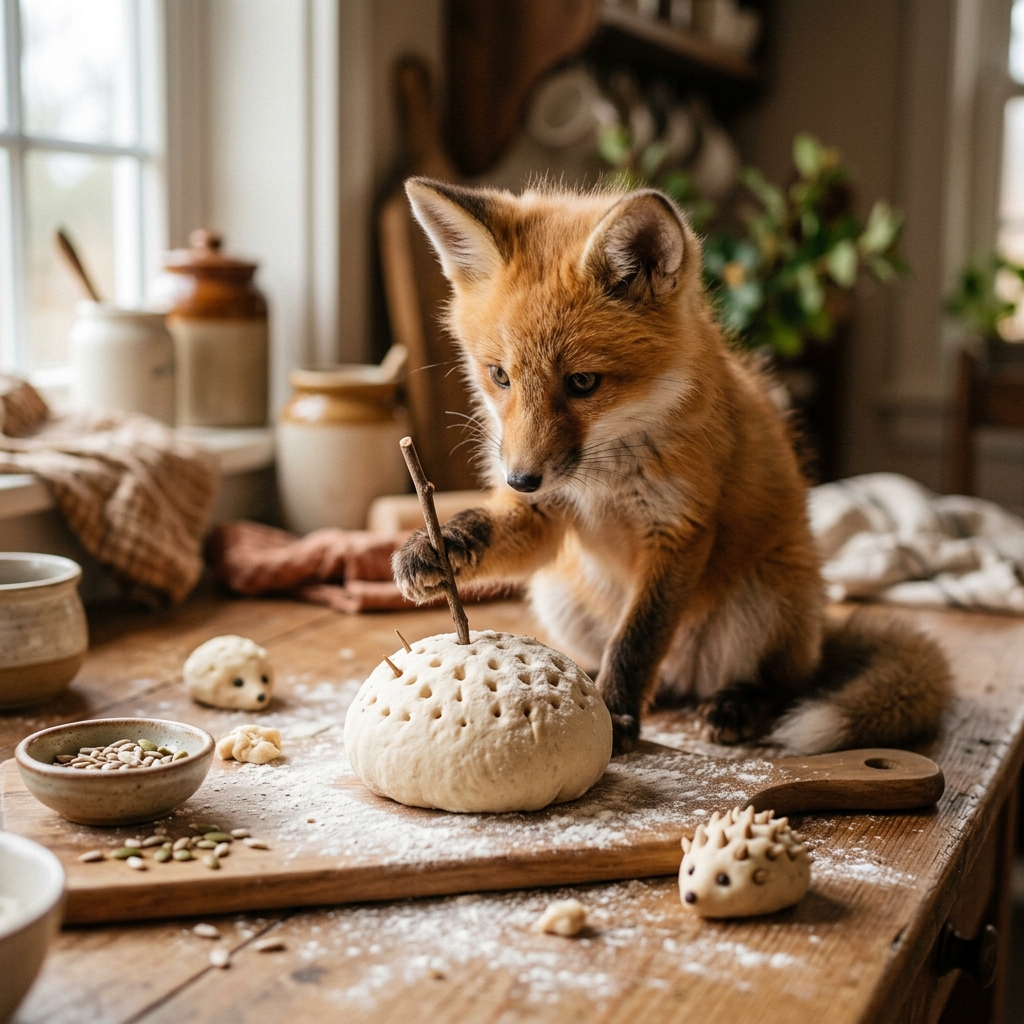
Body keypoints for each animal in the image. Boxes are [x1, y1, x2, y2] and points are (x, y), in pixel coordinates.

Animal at [392, 177, 951, 755]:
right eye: (500, 376)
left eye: (583, 382)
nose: (520, 480)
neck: (608, 475)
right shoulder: (547, 514)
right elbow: (489, 526)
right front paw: (437, 547)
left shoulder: (678, 529)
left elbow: (636, 640)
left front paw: (615, 713)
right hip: (557, 594)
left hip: (764, 596)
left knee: (782, 683)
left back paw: (737, 703)